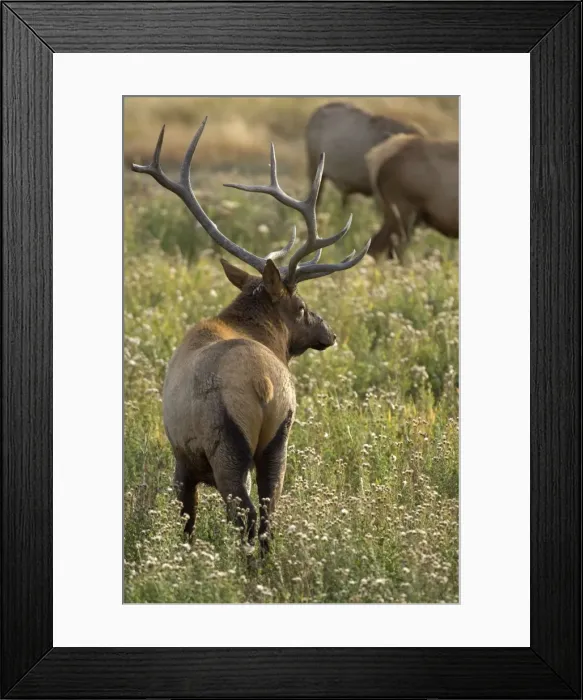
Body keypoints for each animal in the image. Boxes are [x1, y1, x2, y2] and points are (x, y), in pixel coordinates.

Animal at [132, 118, 370, 555]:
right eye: (302, 305)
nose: (328, 332)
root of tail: (264, 384)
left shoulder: (181, 459)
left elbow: (187, 523)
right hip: (279, 439)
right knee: (268, 513)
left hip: (226, 445)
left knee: (245, 516)